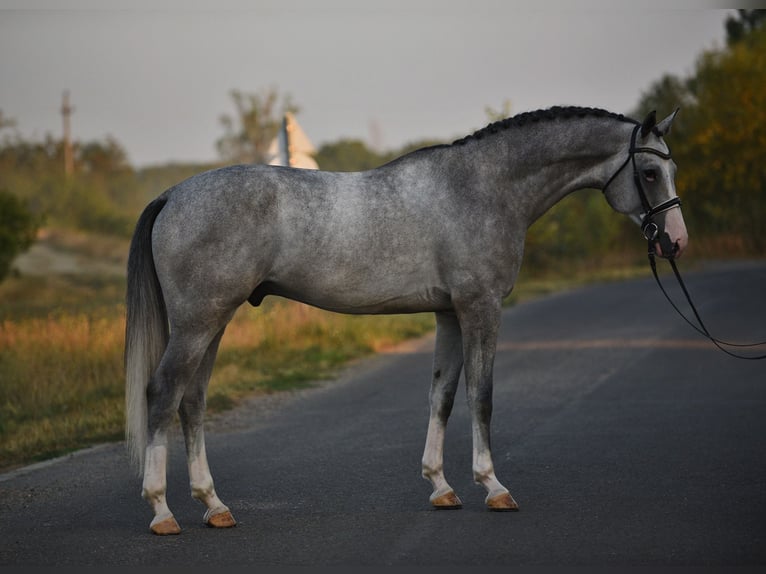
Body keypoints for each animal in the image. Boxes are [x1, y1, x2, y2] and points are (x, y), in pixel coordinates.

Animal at [126, 107, 688, 536]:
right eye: (651, 173)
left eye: (671, 169)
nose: (675, 242)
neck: (484, 187)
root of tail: (173, 195)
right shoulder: (481, 307)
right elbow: (481, 397)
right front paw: (494, 487)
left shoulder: (449, 314)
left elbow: (442, 395)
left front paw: (441, 487)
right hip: (198, 322)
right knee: (163, 394)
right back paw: (161, 512)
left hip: (213, 322)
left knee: (192, 401)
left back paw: (214, 506)